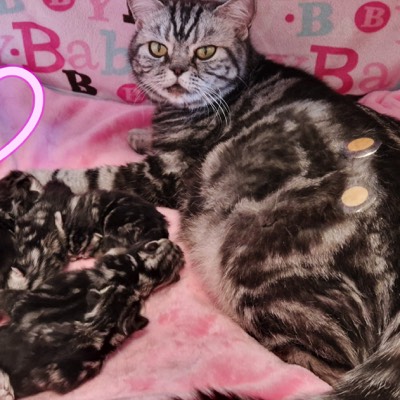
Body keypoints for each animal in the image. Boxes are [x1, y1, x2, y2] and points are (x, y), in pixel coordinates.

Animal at [19, 0, 400, 398]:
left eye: (205, 52)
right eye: (157, 49)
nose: (176, 69)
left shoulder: (166, 174)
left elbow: (84, 176)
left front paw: (29, 179)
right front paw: (141, 134)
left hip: (252, 260)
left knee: (323, 368)